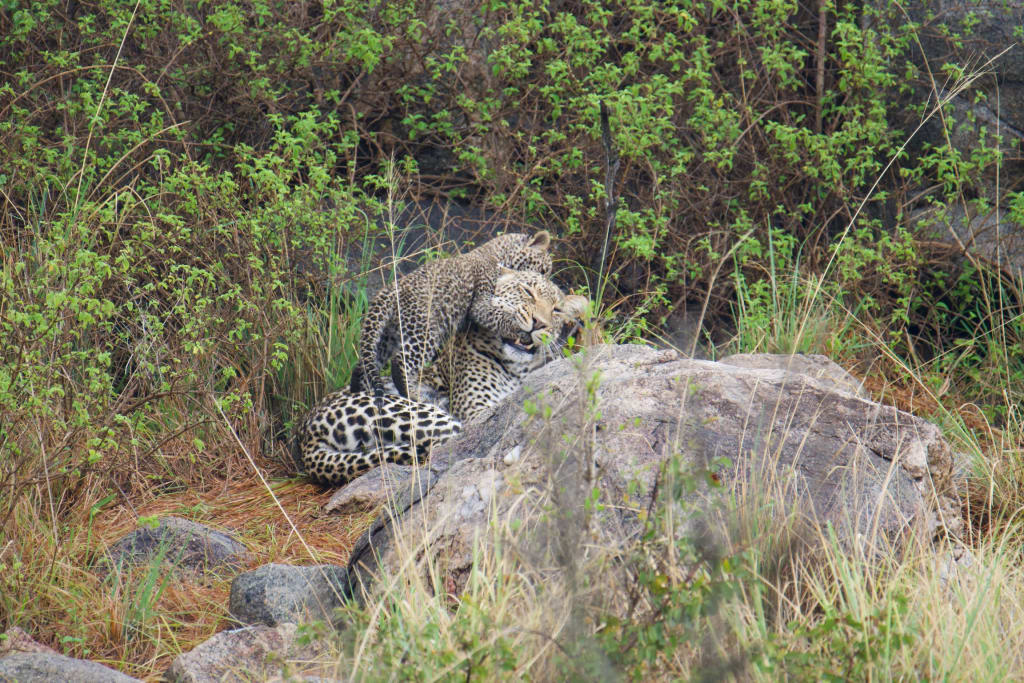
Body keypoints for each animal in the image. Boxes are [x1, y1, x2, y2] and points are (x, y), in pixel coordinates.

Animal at [349, 231, 553, 403]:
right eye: (543, 270)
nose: (545, 281)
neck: (496, 254)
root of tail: (391, 289)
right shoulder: (481, 300)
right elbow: (496, 315)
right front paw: (519, 327)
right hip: (424, 330)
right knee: (400, 362)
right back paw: (412, 395)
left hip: (386, 336)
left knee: (364, 366)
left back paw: (359, 393)